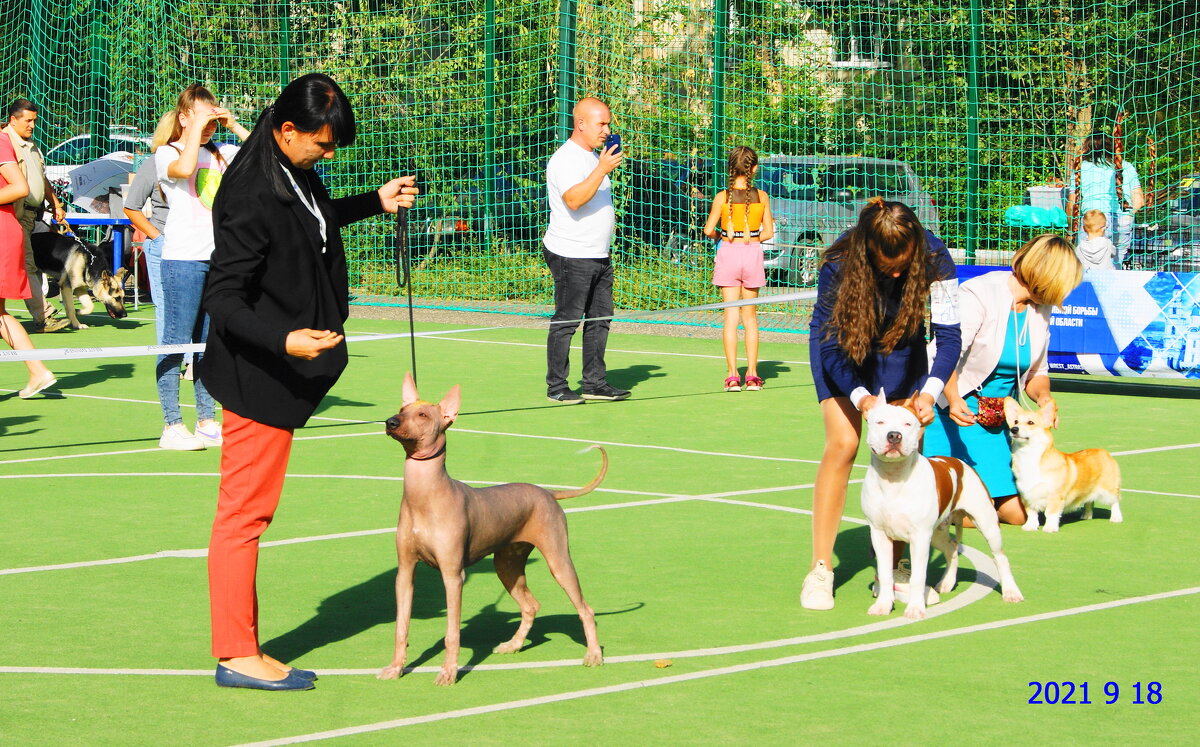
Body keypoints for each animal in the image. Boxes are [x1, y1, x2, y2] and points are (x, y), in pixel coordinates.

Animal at [376, 372, 604, 686]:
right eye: (401, 410)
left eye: (422, 415)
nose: (391, 422)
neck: (423, 497)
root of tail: (547, 493)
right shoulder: (405, 573)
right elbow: (401, 627)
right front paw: (396, 667)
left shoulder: (453, 576)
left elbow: (452, 633)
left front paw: (448, 672)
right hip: (507, 565)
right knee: (531, 606)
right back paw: (513, 645)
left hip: (558, 559)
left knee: (585, 609)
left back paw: (593, 654)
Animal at [864, 391, 1022, 619]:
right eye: (880, 422)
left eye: (908, 423)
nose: (894, 435)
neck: (893, 478)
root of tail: (959, 462)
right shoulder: (879, 535)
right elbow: (885, 574)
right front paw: (883, 605)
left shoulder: (919, 538)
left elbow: (918, 577)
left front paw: (915, 609)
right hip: (938, 532)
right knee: (952, 548)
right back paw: (947, 582)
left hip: (987, 525)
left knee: (1000, 558)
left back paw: (1011, 592)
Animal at [998, 398, 1118, 533]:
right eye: (1015, 422)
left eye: (1030, 422)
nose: (1014, 429)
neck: (1030, 455)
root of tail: (1103, 451)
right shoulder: (1027, 495)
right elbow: (1031, 513)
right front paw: (1030, 526)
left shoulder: (1055, 496)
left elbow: (1050, 513)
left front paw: (1050, 528)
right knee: (1089, 501)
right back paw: (1086, 515)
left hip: (1109, 489)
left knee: (1115, 501)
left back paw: (1116, 518)